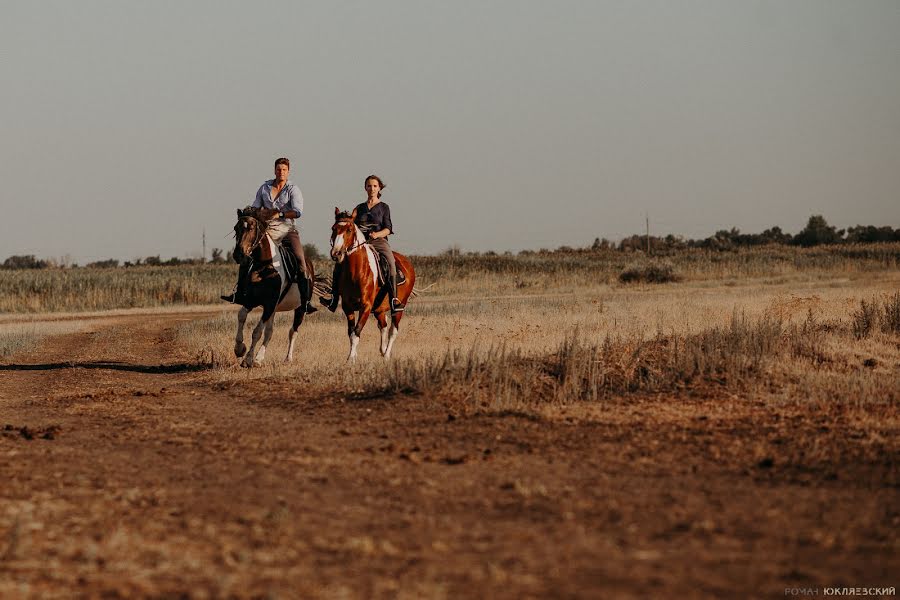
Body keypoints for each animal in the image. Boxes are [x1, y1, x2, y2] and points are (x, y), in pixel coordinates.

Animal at [230, 207, 314, 366]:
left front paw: (248, 359)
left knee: (293, 331)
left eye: (251, 228)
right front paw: (239, 349)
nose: (238, 255)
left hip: (300, 309)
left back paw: (287, 358)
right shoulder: (251, 301)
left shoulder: (269, 304)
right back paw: (259, 358)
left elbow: (257, 332)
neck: (264, 266)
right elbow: (241, 316)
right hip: (274, 309)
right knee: (270, 332)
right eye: (235, 228)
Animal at [328, 209, 416, 360]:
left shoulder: (366, 306)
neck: (356, 271)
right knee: (383, 326)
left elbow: (356, 332)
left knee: (393, 330)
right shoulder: (347, 306)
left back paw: (386, 355)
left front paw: (351, 358)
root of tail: (407, 263)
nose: (336, 254)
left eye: (349, 229)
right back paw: (382, 349)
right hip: (379, 309)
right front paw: (353, 356)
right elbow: (351, 332)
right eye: (334, 228)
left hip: (399, 306)